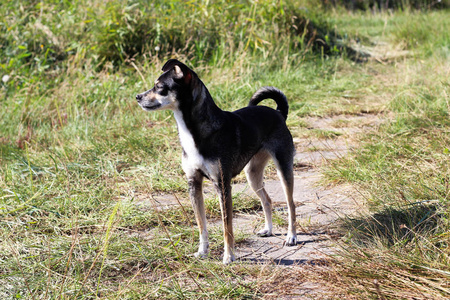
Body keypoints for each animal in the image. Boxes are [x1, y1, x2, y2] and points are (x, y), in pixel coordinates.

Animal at [137, 59, 298, 264]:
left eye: (160, 87)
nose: (137, 97)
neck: (193, 133)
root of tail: (279, 113)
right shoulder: (193, 183)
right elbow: (201, 225)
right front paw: (202, 252)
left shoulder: (222, 185)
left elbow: (226, 226)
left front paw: (229, 256)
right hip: (252, 174)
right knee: (267, 200)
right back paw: (268, 229)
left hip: (284, 168)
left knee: (291, 204)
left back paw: (291, 236)